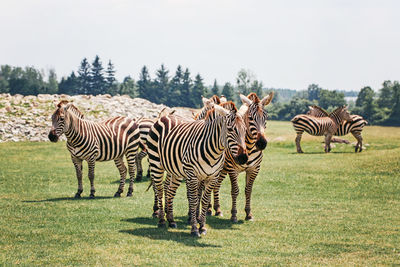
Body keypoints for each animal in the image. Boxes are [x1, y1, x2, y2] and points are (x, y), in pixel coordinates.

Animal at [147, 99, 247, 238]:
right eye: (230, 129)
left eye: (245, 130)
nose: (243, 158)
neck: (214, 151)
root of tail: (165, 116)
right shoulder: (192, 175)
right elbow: (194, 200)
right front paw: (194, 229)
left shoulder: (212, 177)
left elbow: (204, 200)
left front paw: (203, 227)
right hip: (156, 163)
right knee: (160, 190)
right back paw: (161, 220)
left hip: (176, 171)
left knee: (170, 191)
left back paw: (171, 221)